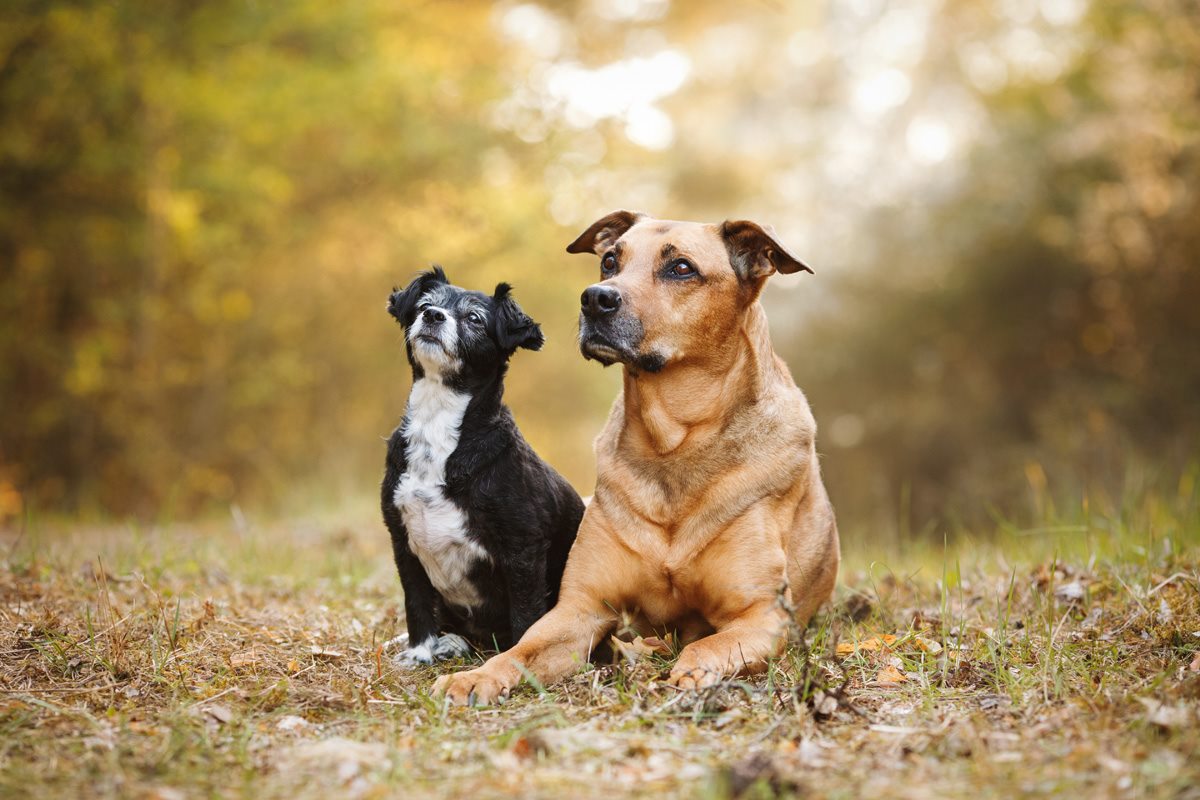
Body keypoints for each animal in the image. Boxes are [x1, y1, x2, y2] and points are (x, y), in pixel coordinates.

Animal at [381, 266, 583, 666]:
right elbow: (417, 603)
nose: (433, 316)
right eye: (425, 305)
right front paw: (420, 653)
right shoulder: (401, 539)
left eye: (474, 318)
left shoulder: (523, 549)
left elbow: (526, 615)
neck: (438, 423)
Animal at [436, 209, 840, 705]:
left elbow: (709, 643)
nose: (595, 298)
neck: (671, 444)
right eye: (610, 260)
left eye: (682, 268)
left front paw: (692, 671)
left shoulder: (761, 614)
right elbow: (521, 650)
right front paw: (476, 676)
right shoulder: (581, 608)